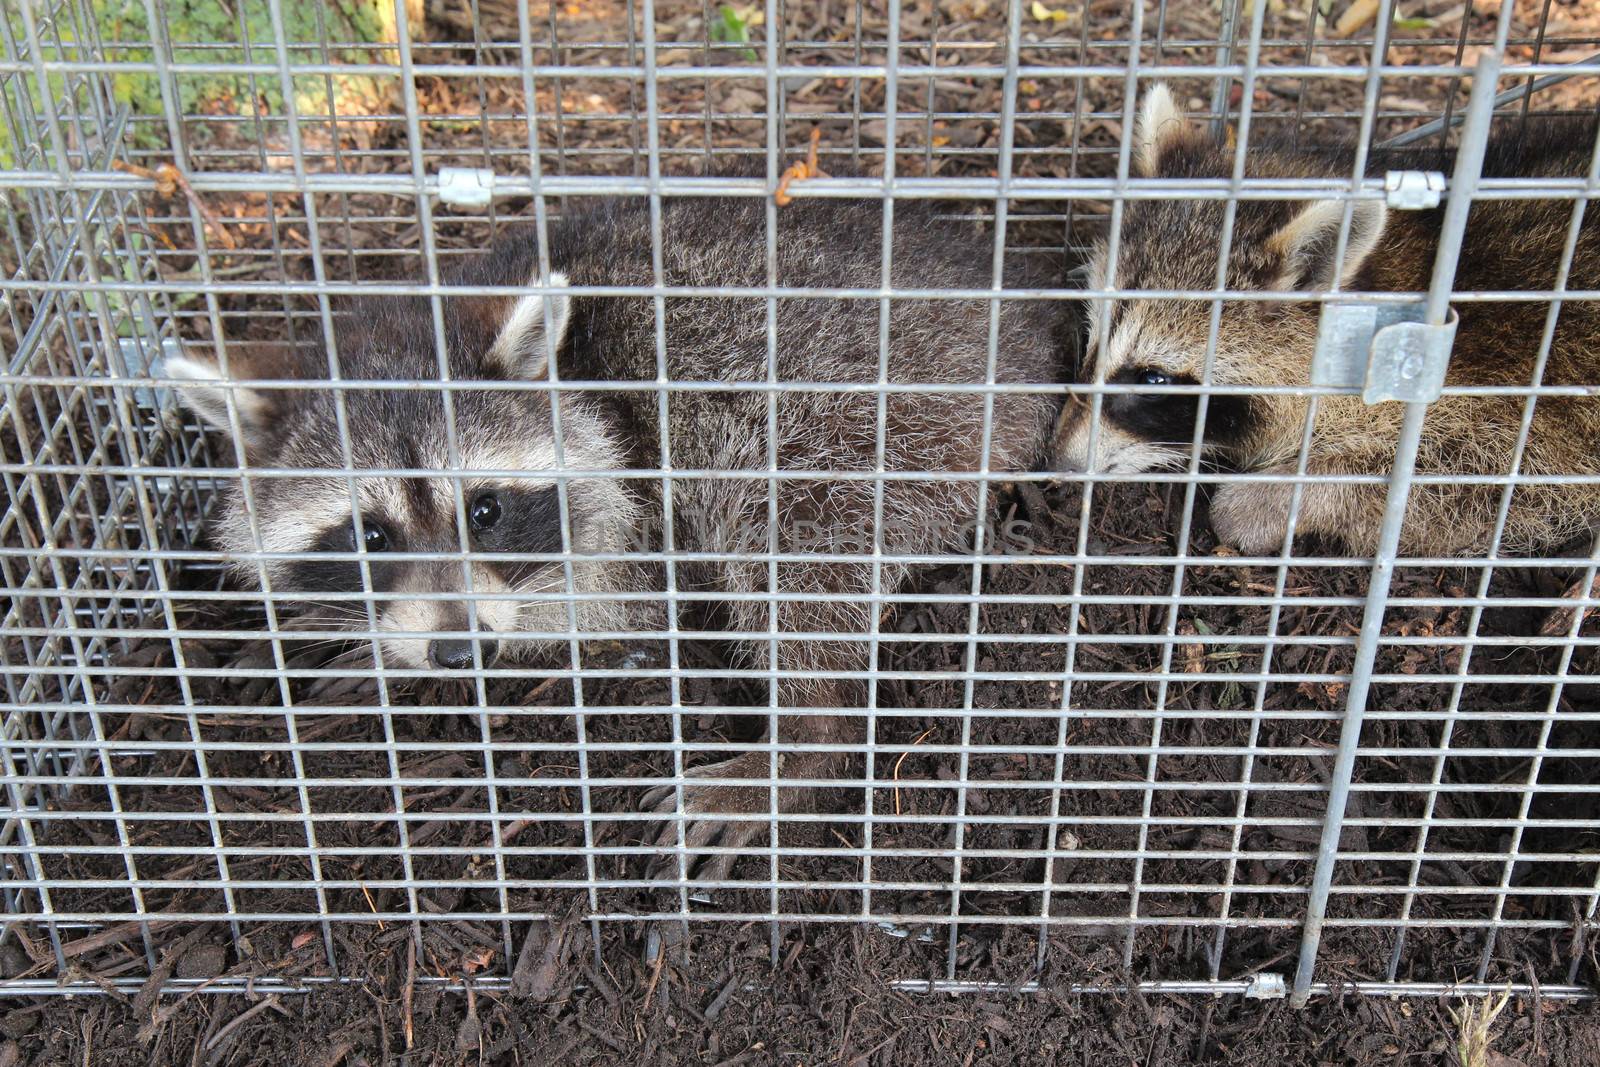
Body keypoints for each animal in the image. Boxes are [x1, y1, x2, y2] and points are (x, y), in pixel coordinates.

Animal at [168, 191, 1068, 876]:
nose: (459, 651)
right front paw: (338, 631)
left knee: (789, 543)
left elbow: (595, 605)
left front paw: (374, 652)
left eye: (485, 512)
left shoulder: (637, 498)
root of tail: (1025, 326)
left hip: (866, 419)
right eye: (370, 538)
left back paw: (803, 742)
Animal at [1049, 85, 1600, 559]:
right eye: (1092, 339)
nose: (1056, 463)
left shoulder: (1531, 397)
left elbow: (1488, 477)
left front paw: (1278, 498)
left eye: (1153, 379)